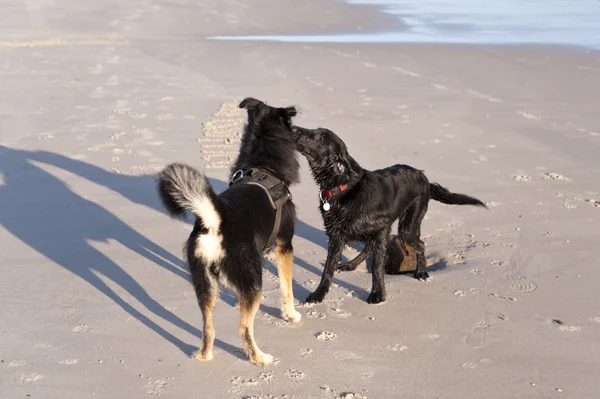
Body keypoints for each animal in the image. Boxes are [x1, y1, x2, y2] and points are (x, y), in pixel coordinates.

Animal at [158, 98, 300, 368]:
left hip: (205, 283)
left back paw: (204, 355)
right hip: (251, 278)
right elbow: (287, 286)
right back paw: (259, 358)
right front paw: (291, 314)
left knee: (207, 328)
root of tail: (216, 222)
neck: (262, 164)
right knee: (244, 329)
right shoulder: (284, 245)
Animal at [292, 126, 488, 304]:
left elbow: (377, 266)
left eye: (321, 138)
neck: (344, 188)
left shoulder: (382, 229)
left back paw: (421, 272)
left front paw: (377, 294)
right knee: (369, 245)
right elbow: (328, 268)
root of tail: (424, 178)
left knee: (419, 244)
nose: (294, 129)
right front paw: (318, 294)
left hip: (408, 226)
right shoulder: (336, 235)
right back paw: (351, 264)